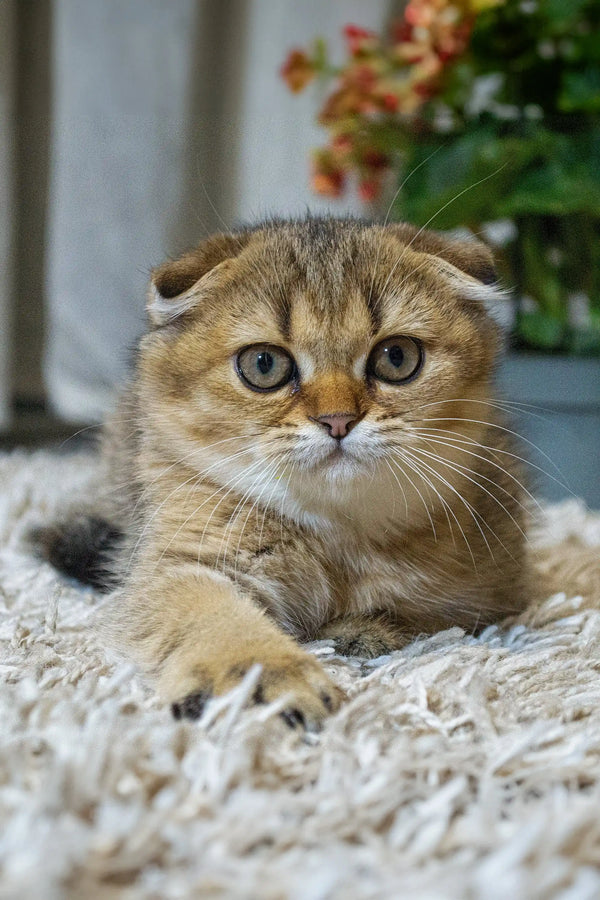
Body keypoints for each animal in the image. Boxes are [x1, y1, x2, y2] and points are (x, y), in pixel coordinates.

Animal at [39, 218, 532, 732]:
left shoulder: (489, 593)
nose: (338, 420)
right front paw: (263, 678)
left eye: (397, 357)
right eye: (264, 364)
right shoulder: (178, 560)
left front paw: (361, 630)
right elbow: (214, 615)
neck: (334, 533)